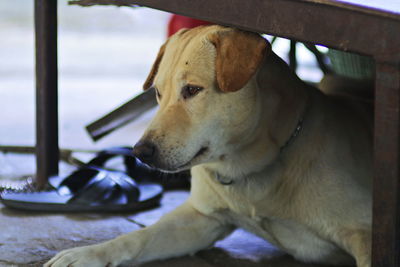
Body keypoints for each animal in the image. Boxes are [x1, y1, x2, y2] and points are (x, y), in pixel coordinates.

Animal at [46, 25, 372, 267]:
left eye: (192, 90)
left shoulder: (365, 236)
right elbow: (137, 238)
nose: (139, 153)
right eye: (158, 93)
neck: (248, 168)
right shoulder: (201, 219)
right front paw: (88, 253)